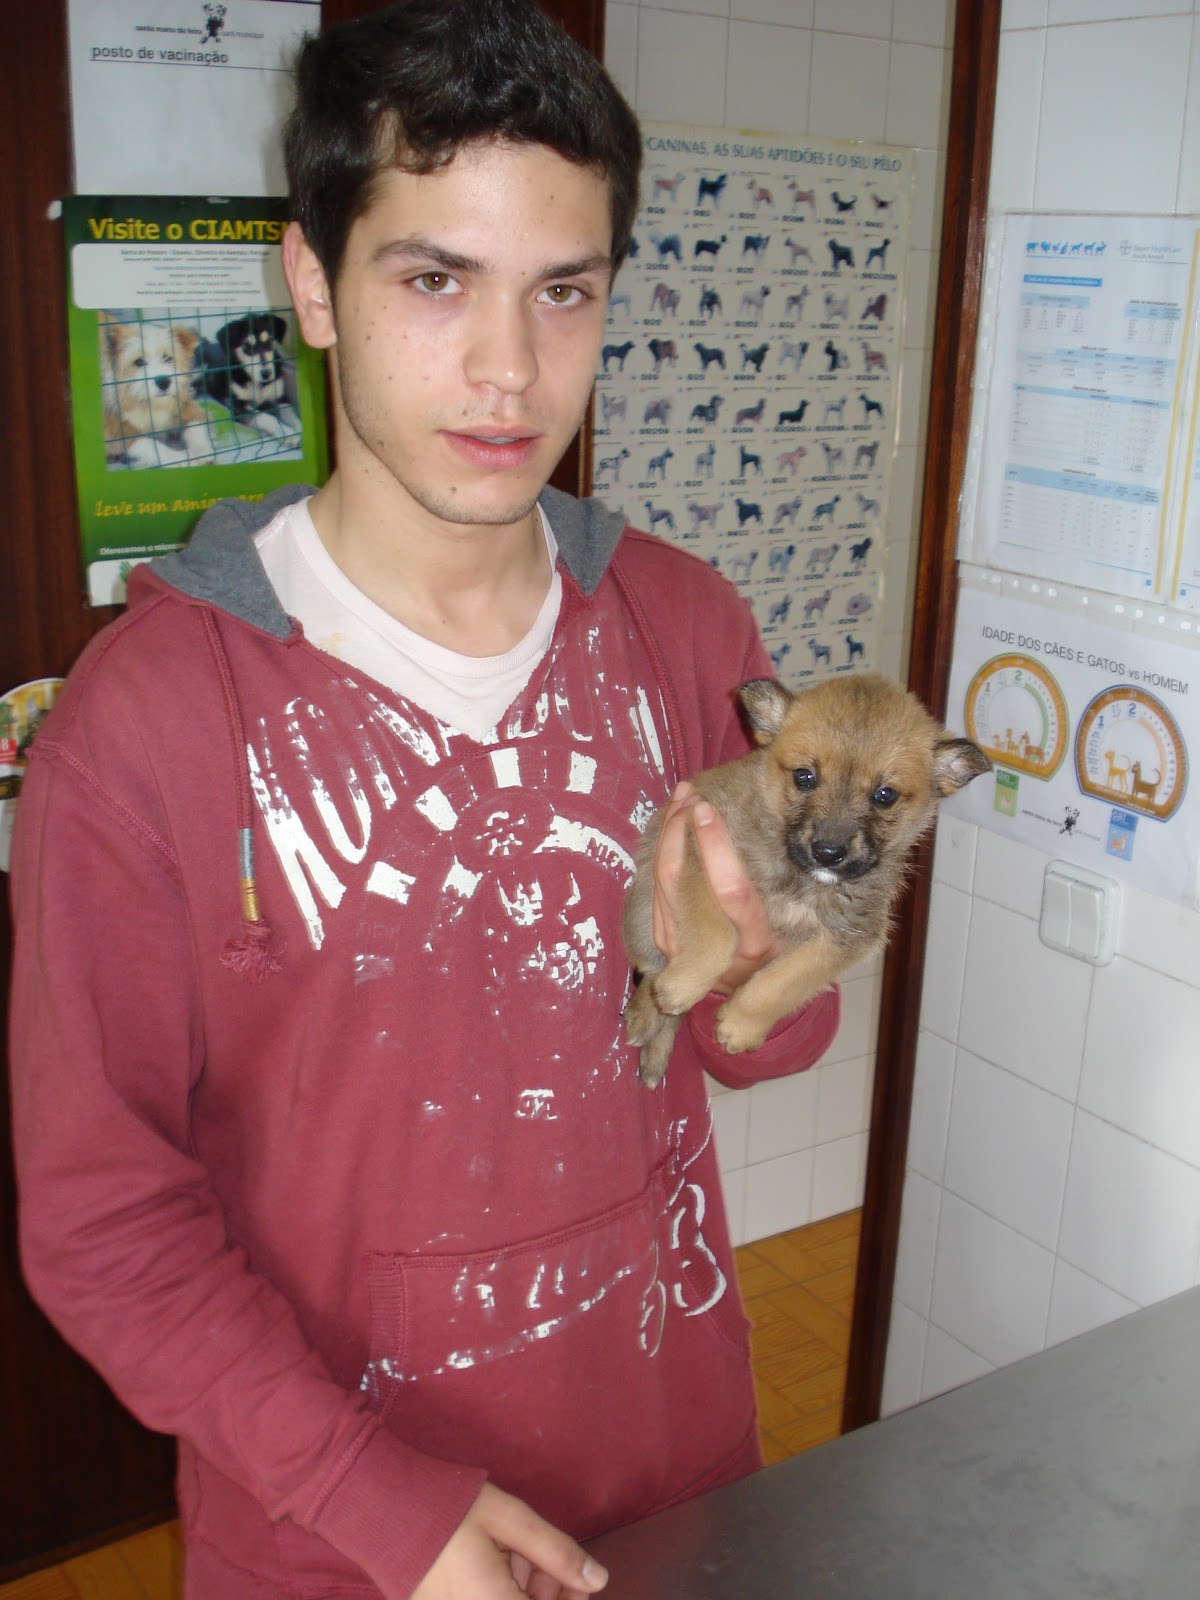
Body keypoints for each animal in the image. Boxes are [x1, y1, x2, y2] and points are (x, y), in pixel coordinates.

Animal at [101, 312, 206, 464]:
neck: (152, 403)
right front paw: (184, 459)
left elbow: (196, 428)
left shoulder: (187, 410)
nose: (164, 381)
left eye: (168, 358)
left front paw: (202, 452)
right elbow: (155, 447)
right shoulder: (123, 433)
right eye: (139, 362)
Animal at [621, 674, 991, 1084]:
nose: (828, 853)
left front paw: (740, 1025)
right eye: (804, 777)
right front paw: (685, 984)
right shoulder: (702, 848)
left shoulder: (848, 938)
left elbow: (786, 982)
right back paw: (645, 1012)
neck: (802, 881)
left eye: (885, 795)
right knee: (650, 971)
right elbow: (717, 937)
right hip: (643, 916)